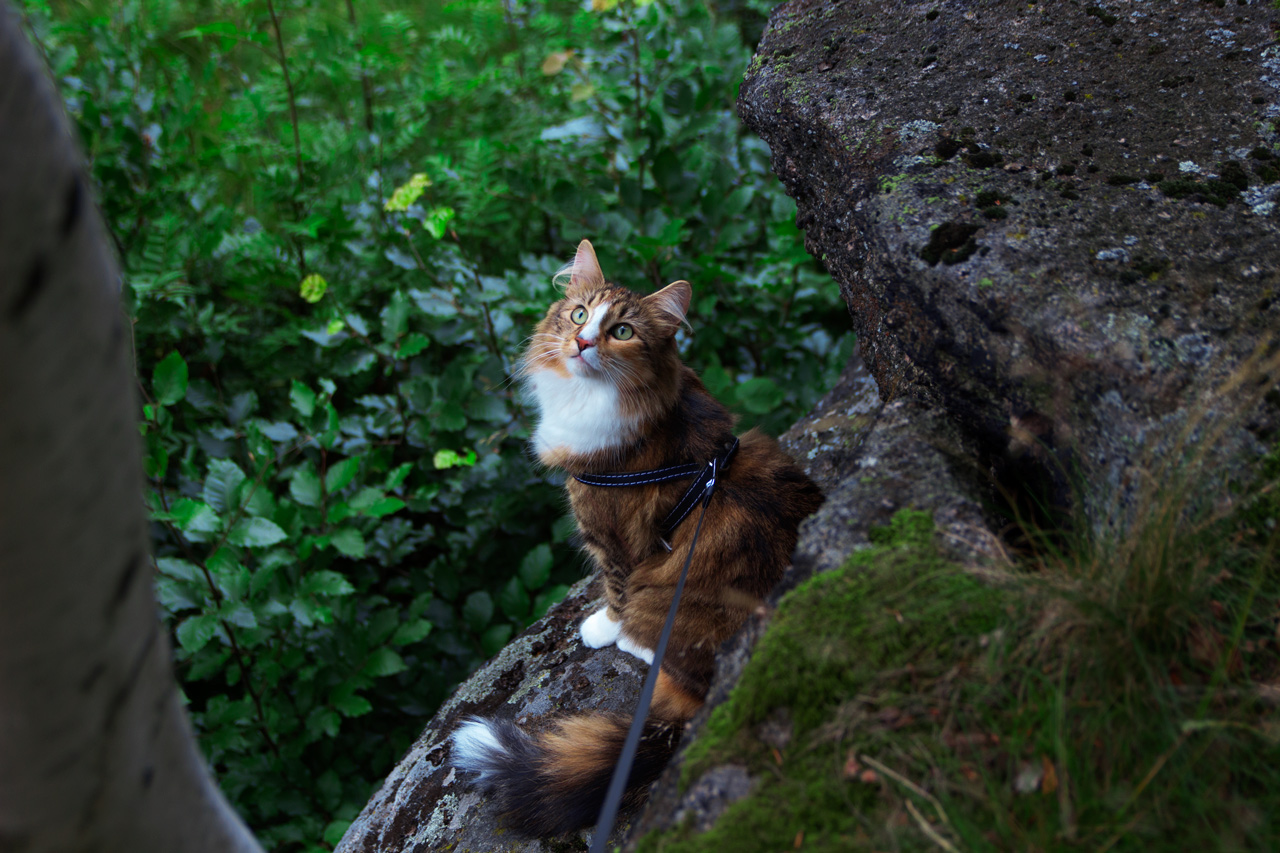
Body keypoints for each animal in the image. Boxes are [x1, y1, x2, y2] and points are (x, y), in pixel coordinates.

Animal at [450, 239, 824, 836]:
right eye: (579, 315)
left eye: (622, 331)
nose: (581, 343)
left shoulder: (614, 537)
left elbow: (615, 588)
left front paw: (602, 627)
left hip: (668, 603)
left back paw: (632, 643)